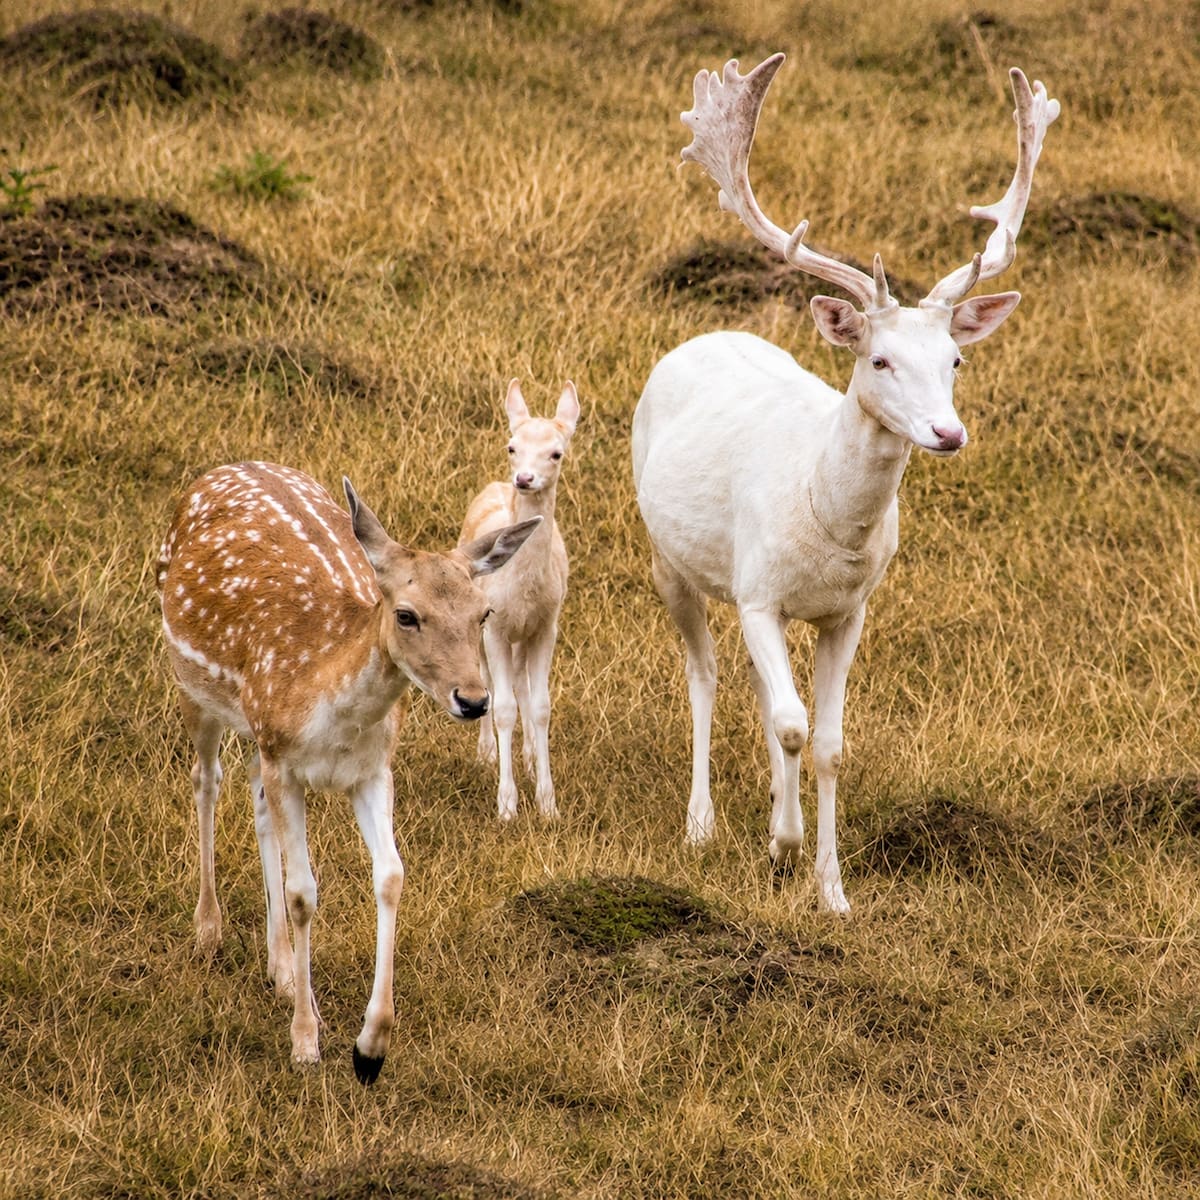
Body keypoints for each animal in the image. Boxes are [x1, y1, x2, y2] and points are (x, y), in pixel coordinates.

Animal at [156, 461, 539, 1081]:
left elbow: (391, 875)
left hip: (258, 738)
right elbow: (303, 893)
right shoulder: (286, 760)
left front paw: (371, 1046)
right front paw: (306, 1043)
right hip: (192, 685)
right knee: (206, 781)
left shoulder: (371, 771)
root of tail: (224, 469)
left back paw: (281, 969)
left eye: (483, 613)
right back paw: (209, 930)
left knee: (255, 803)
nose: (474, 699)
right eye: (407, 615)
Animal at [459, 379, 580, 821]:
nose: (524, 479)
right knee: (488, 679)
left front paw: (548, 804)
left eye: (556, 453)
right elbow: (504, 707)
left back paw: (528, 757)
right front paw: (506, 806)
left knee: (521, 681)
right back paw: (486, 754)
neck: (522, 590)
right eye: (511, 446)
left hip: (524, 637)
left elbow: (541, 705)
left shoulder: (547, 623)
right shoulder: (494, 624)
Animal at [632, 54, 1058, 911]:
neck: (828, 523)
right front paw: (784, 851)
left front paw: (829, 887)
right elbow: (792, 723)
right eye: (879, 358)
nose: (948, 433)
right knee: (704, 673)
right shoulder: (759, 592)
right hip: (669, 557)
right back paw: (702, 823)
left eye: (956, 359)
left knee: (762, 695)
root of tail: (702, 335)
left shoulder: (846, 610)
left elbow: (824, 740)